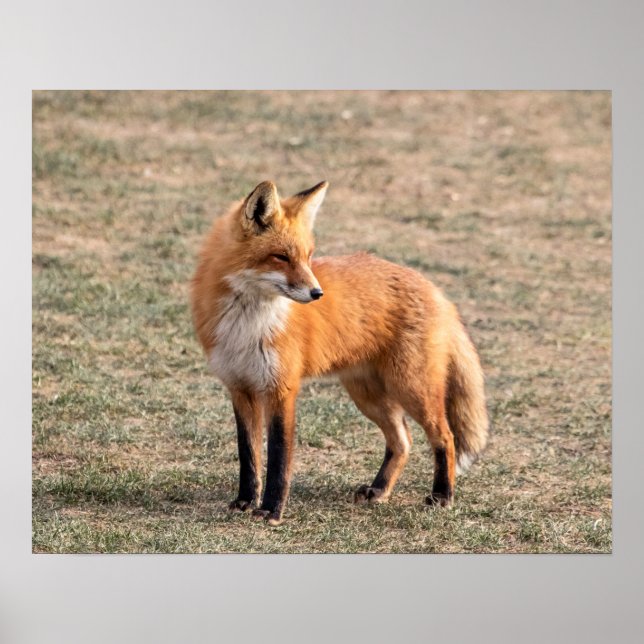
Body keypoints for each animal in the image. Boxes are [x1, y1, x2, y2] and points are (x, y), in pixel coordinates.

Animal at [191, 180, 488, 526]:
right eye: (281, 257)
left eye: (308, 257)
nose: (317, 293)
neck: (248, 324)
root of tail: (436, 289)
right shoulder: (240, 388)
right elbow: (248, 454)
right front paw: (245, 501)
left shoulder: (282, 389)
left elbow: (278, 456)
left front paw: (272, 510)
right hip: (368, 396)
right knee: (402, 441)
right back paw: (379, 490)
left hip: (412, 388)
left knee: (445, 437)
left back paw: (442, 495)